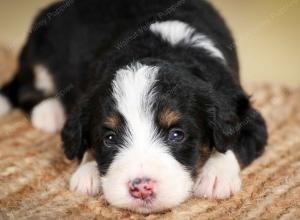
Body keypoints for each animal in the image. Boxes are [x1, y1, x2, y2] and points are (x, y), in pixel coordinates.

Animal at [0, 0, 268, 214]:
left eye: (176, 135)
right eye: (109, 138)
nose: (141, 188)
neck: (161, 50)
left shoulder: (245, 112)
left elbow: (231, 143)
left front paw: (215, 176)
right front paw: (87, 171)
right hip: (41, 52)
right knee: (24, 89)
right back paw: (49, 112)